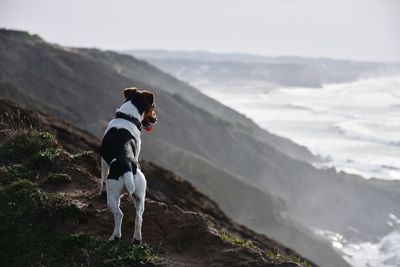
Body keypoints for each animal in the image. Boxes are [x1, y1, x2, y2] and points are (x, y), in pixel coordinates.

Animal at [99, 87, 157, 245]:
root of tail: (128, 165)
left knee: (119, 214)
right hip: (140, 196)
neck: (127, 116)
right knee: (139, 217)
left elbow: (102, 178)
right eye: (153, 107)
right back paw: (136, 239)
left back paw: (115, 237)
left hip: (113, 193)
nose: (156, 119)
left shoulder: (103, 162)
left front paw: (101, 192)